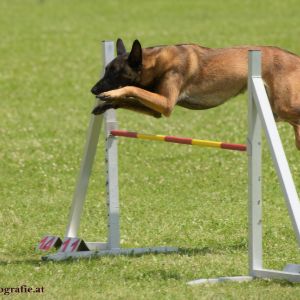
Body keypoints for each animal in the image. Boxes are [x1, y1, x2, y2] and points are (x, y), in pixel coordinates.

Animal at [90, 38, 300, 149]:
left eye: (114, 72)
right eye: (106, 70)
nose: (93, 90)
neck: (156, 63)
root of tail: (295, 57)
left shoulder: (166, 103)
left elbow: (133, 89)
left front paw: (112, 94)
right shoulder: (157, 110)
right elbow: (129, 100)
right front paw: (106, 103)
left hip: (282, 106)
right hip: (275, 112)